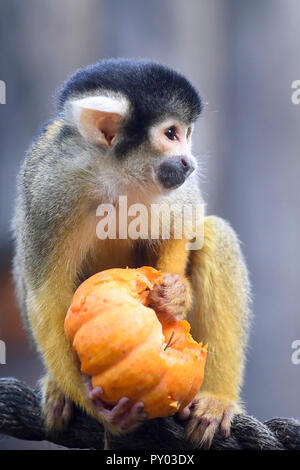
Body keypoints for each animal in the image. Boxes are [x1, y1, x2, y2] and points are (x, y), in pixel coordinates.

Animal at [12, 58, 251, 448]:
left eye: (188, 133)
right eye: (171, 134)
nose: (189, 162)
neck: (114, 176)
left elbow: (183, 225)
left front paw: (173, 299)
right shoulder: (52, 187)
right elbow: (46, 295)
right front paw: (97, 408)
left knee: (214, 234)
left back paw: (216, 400)